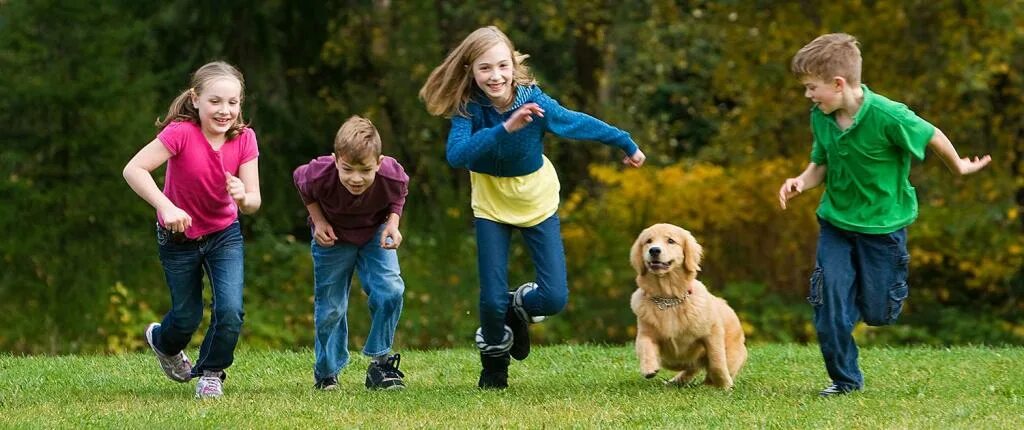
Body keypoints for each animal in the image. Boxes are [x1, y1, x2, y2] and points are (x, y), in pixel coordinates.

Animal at [622, 223, 745, 387]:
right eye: (648, 241)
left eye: (671, 241)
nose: (654, 250)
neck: (668, 299)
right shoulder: (645, 332)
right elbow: (645, 346)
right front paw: (649, 369)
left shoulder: (712, 334)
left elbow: (717, 361)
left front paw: (725, 384)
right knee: (691, 369)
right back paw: (675, 381)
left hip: (733, 353)